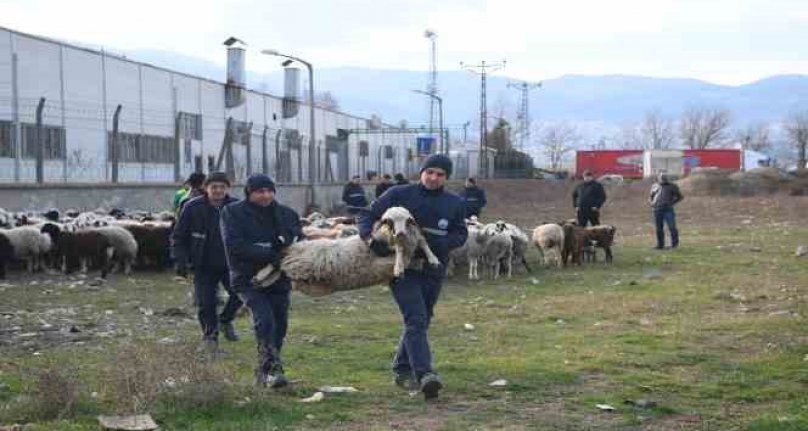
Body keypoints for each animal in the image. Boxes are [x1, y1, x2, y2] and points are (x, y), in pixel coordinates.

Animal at [254, 207, 438, 296]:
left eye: (408, 221)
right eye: (389, 222)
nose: (400, 233)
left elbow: (419, 245)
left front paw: (430, 259)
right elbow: (401, 252)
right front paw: (399, 268)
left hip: (297, 266)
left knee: (279, 266)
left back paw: (260, 280)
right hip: (301, 256)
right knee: (277, 259)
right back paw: (260, 276)